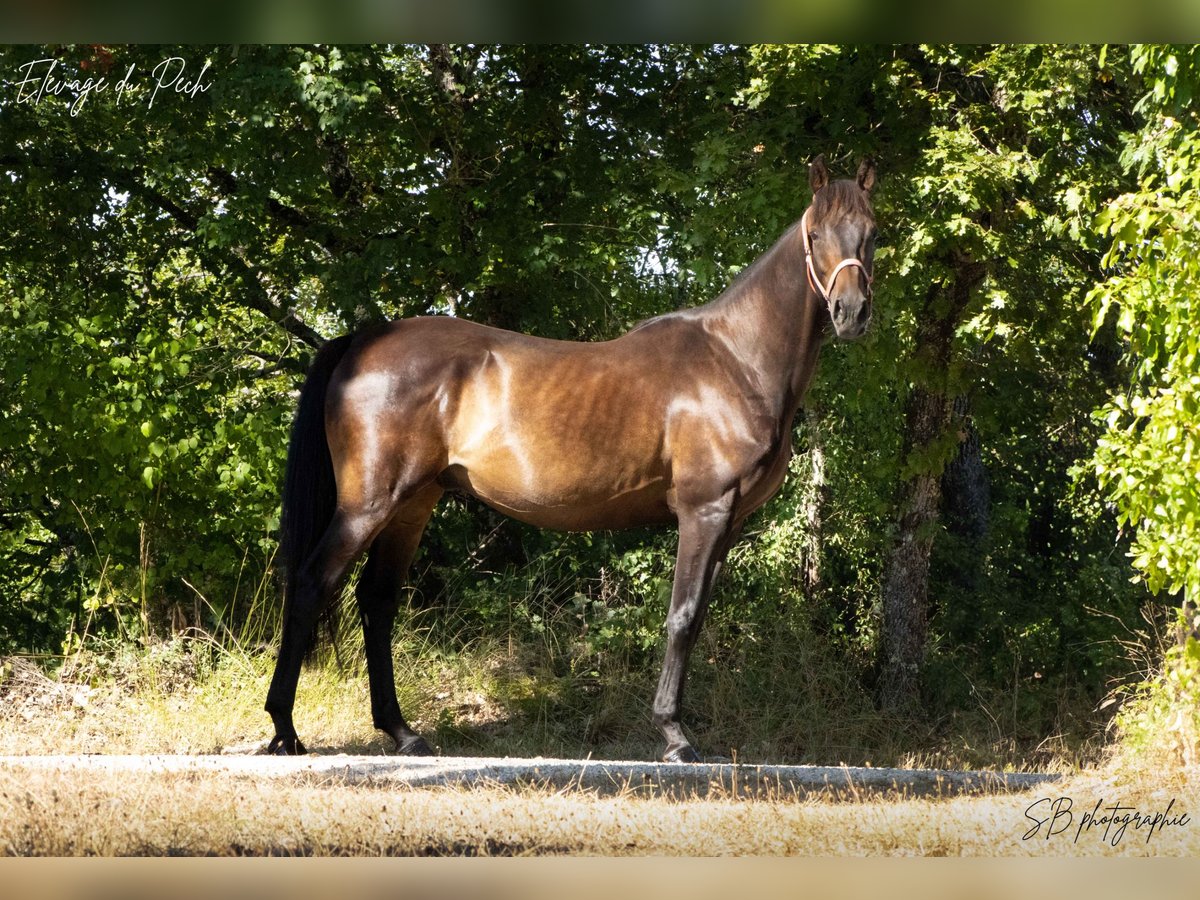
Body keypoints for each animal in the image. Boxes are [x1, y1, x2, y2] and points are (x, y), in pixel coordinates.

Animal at [267, 158, 878, 763]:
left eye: (872, 234)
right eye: (816, 235)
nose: (851, 313)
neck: (735, 359)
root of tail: (362, 341)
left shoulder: (727, 523)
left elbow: (697, 617)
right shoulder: (704, 511)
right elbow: (682, 619)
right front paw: (674, 737)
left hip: (412, 505)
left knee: (376, 601)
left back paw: (402, 732)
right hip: (367, 504)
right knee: (311, 583)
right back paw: (285, 731)